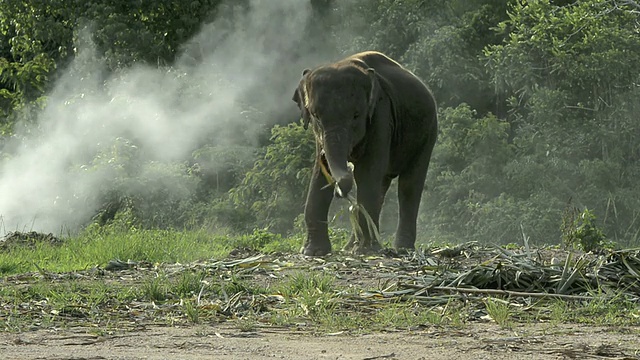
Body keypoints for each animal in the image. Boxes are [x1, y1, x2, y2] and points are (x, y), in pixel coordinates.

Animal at [292, 52, 438, 258]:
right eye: (315, 116)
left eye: (356, 115)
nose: (341, 191)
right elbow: (320, 174)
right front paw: (313, 252)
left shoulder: (381, 115)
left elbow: (366, 173)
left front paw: (366, 251)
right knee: (382, 186)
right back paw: (351, 247)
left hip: (428, 133)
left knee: (409, 185)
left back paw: (400, 249)